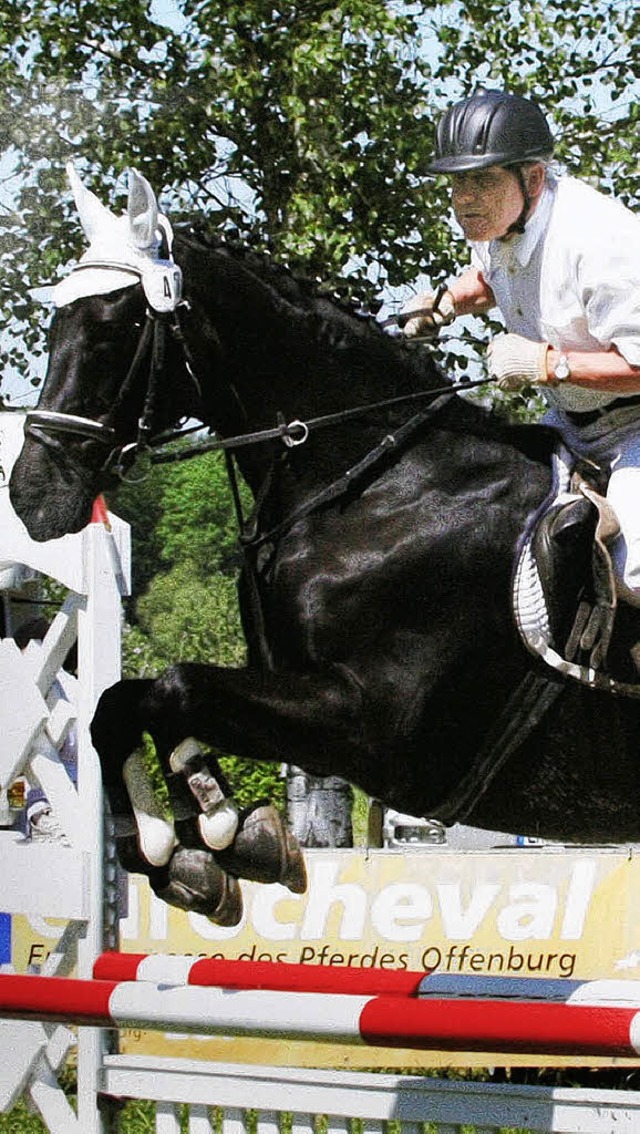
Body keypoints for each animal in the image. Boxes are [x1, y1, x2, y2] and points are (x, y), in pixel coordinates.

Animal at [7, 167, 640, 925]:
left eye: (109, 331)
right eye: (54, 323)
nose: (32, 495)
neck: (375, 481)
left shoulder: (372, 727)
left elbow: (174, 685)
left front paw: (214, 833)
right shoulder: (293, 690)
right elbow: (125, 704)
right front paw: (194, 847)